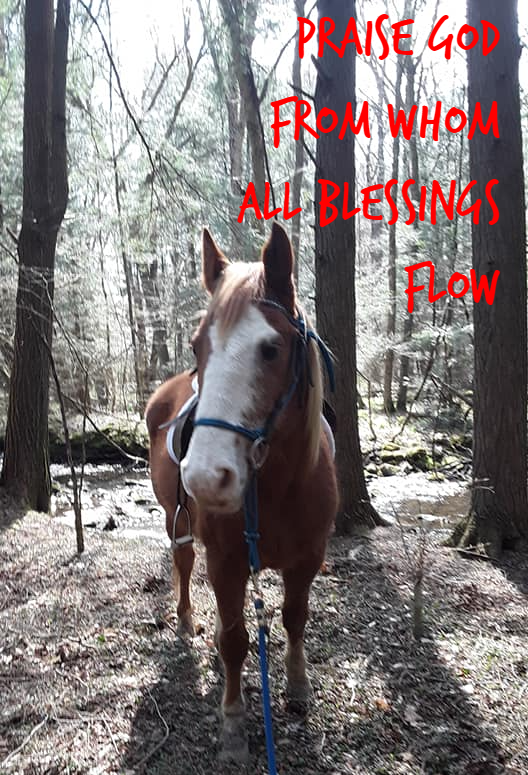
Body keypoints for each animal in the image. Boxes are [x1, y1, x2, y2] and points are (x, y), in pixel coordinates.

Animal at [145, 222, 338, 762]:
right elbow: (235, 641)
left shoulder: (308, 558)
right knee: (184, 566)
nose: (207, 477)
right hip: (177, 522)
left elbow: (295, 618)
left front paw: (297, 686)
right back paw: (188, 622)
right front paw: (233, 724)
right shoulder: (227, 560)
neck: (277, 489)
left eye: (270, 349)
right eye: (197, 347)